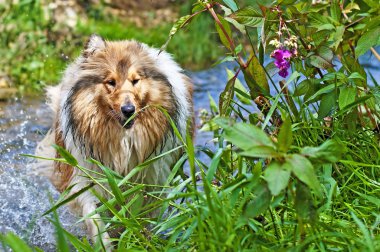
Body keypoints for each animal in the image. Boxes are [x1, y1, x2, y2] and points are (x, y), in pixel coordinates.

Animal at [35, 34, 193, 245]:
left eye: (135, 80)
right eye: (111, 81)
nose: (128, 110)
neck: (122, 142)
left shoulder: (152, 182)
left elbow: (142, 216)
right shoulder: (85, 178)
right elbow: (94, 218)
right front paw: (105, 244)